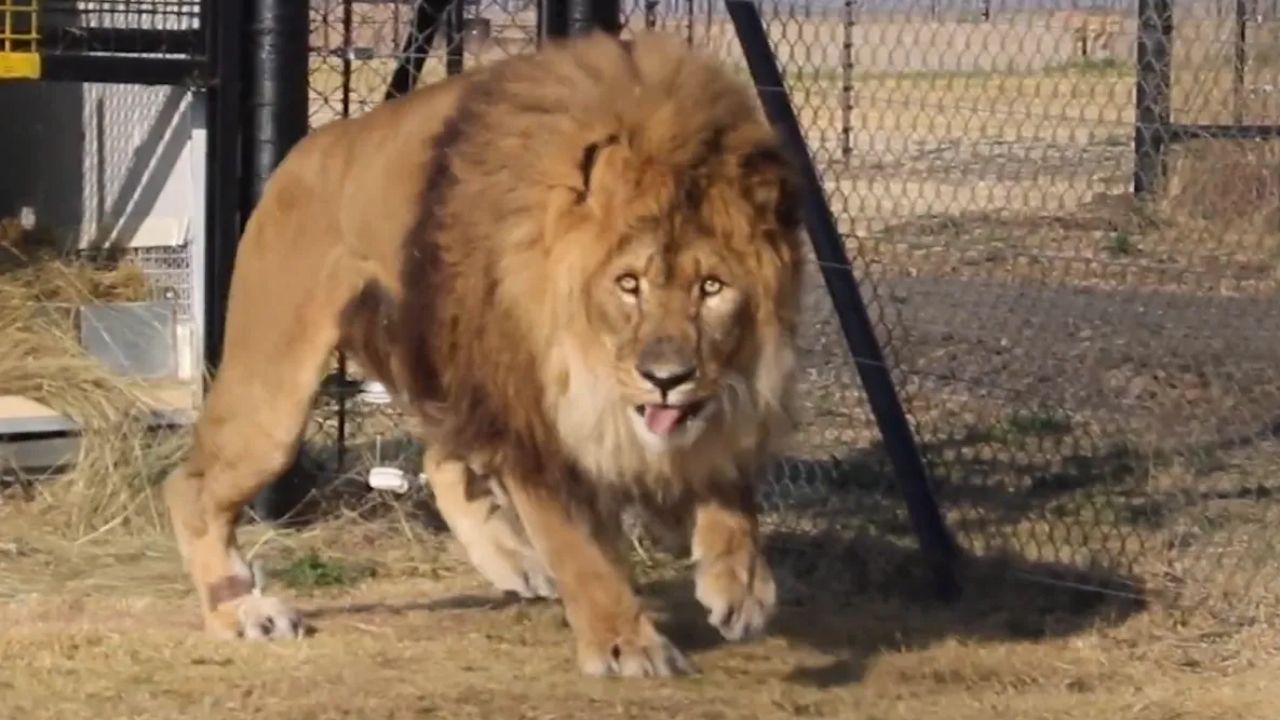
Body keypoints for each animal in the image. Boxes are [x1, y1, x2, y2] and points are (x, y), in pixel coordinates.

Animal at [161, 29, 803, 678]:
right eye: (629, 284)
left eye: (712, 287)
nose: (666, 377)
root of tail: (312, 147)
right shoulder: (526, 415)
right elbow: (580, 553)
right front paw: (627, 643)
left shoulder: (722, 395)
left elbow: (729, 488)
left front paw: (741, 584)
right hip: (277, 401)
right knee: (190, 488)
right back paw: (240, 609)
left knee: (442, 457)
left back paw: (514, 561)